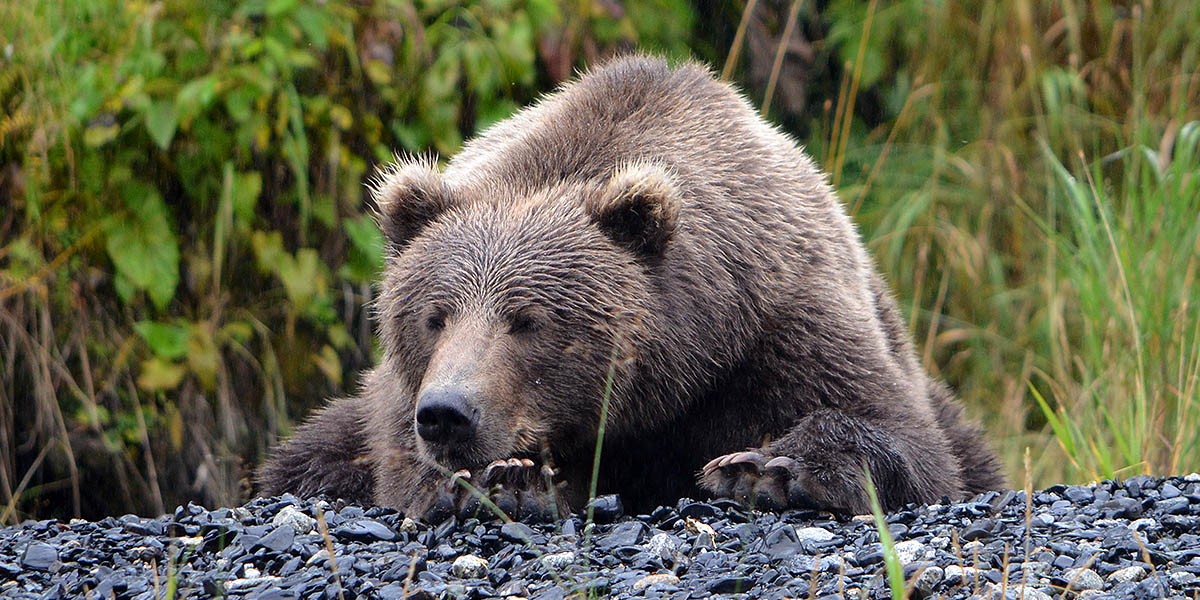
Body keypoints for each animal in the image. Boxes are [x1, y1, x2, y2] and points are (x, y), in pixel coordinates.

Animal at [260, 54, 1003, 518]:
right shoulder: (396, 401)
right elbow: (393, 462)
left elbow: (903, 435)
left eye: (527, 319)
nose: (447, 413)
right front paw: (506, 481)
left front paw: (764, 468)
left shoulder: (782, 319)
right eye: (433, 316)